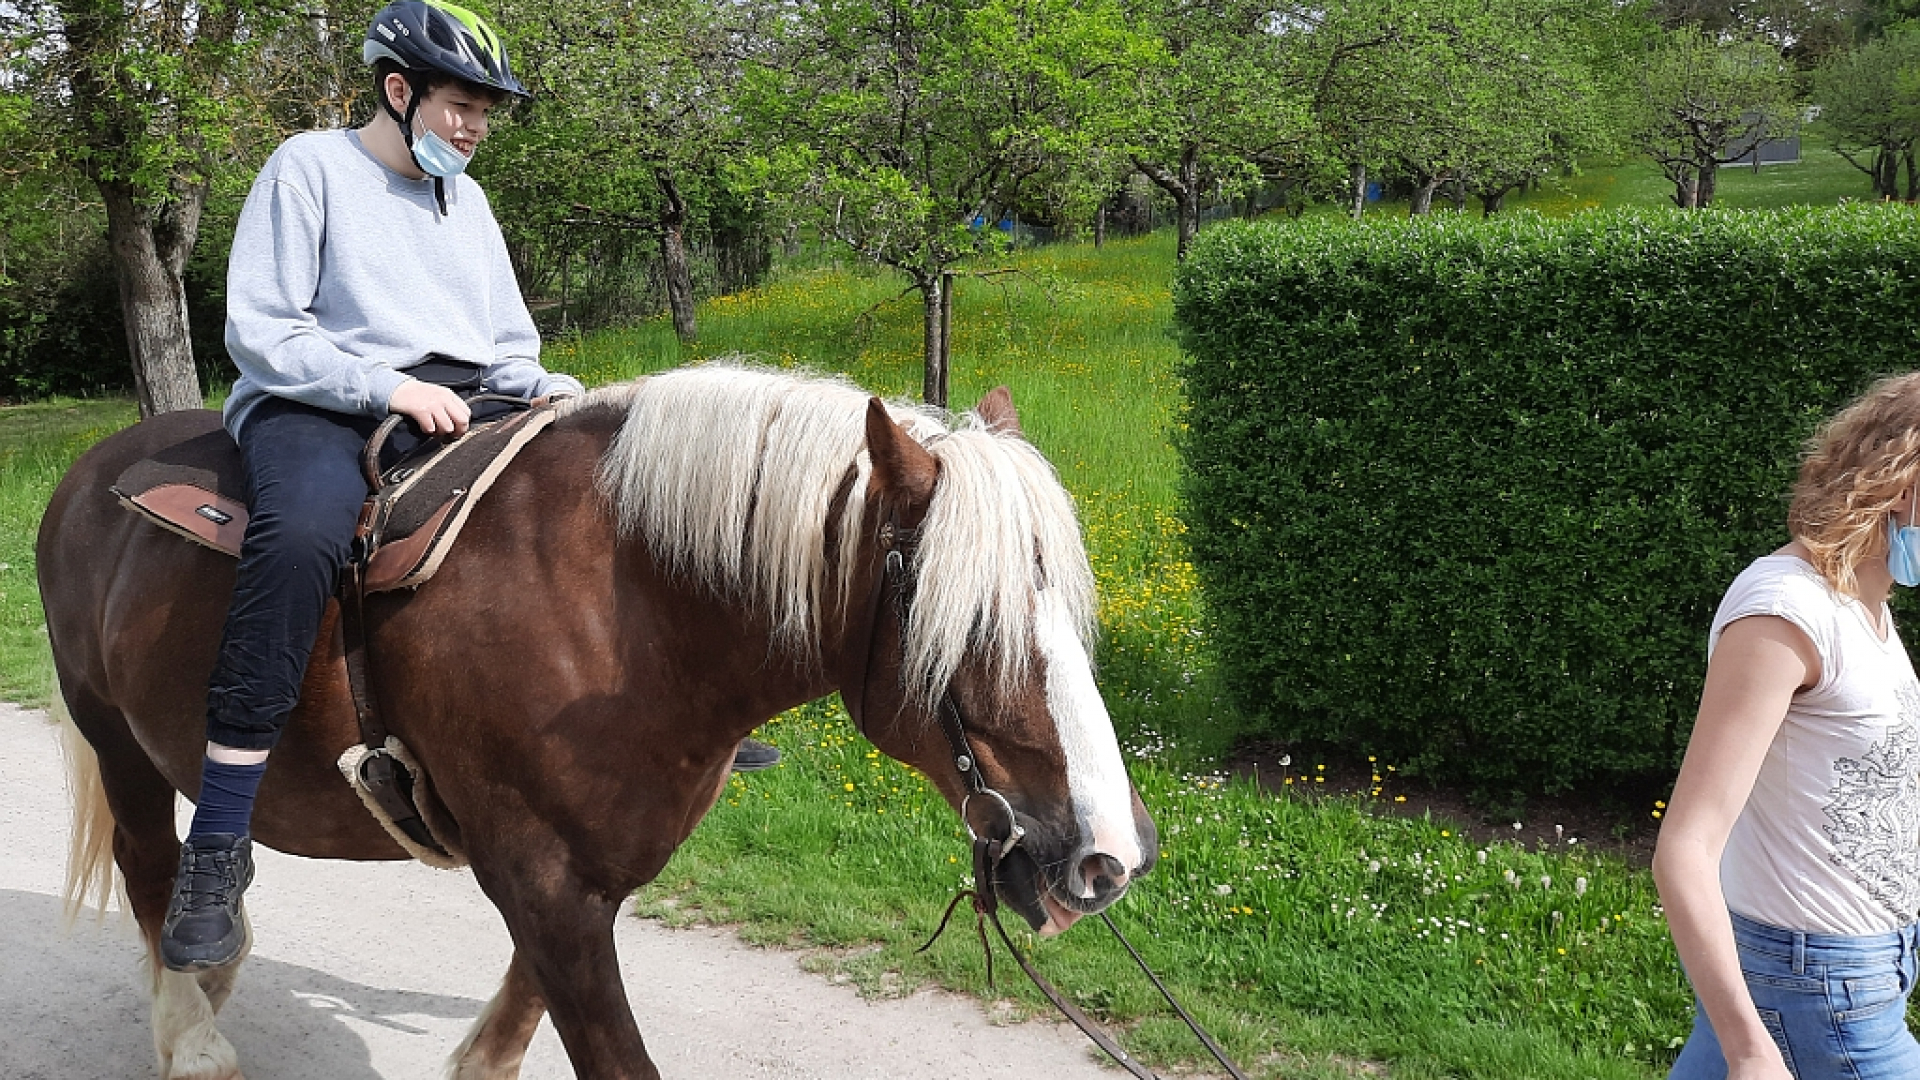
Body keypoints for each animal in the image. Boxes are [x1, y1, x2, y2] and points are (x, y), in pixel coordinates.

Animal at [37, 363, 1159, 1076]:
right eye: (967, 621)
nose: (1107, 856)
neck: (624, 613)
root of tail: (90, 467)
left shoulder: (583, 880)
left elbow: (509, 1029)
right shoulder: (543, 881)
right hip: (116, 739)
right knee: (151, 868)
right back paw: (193, 1029)